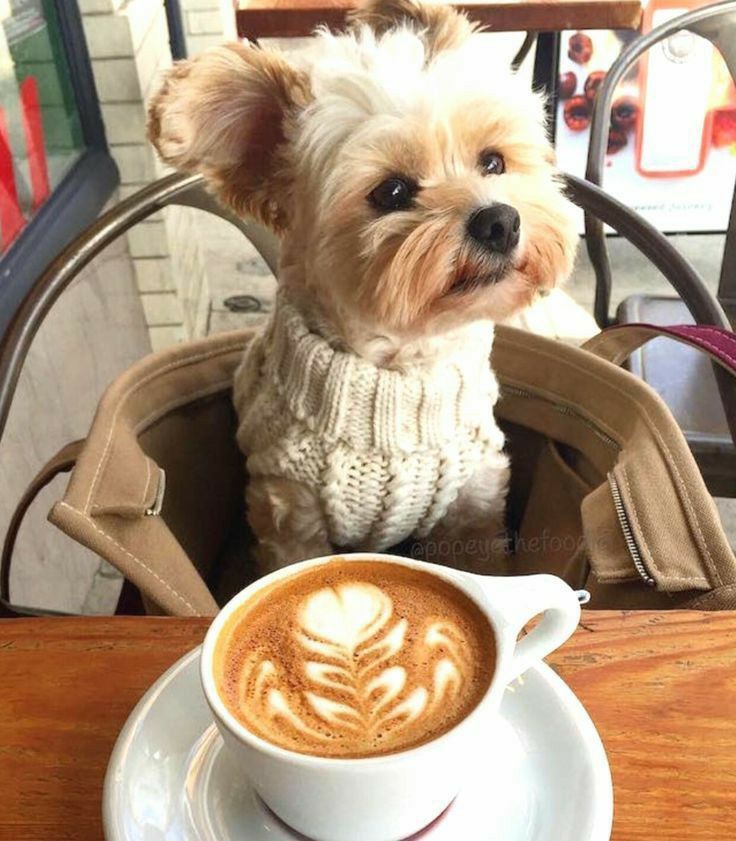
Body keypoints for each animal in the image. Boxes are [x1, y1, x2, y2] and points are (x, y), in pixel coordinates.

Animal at [147, 0, 576, 572]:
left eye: (493, 161)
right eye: (391, 192)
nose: (500, 221)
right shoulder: (291, 516)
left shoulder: (474, 503)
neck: (398, 371)